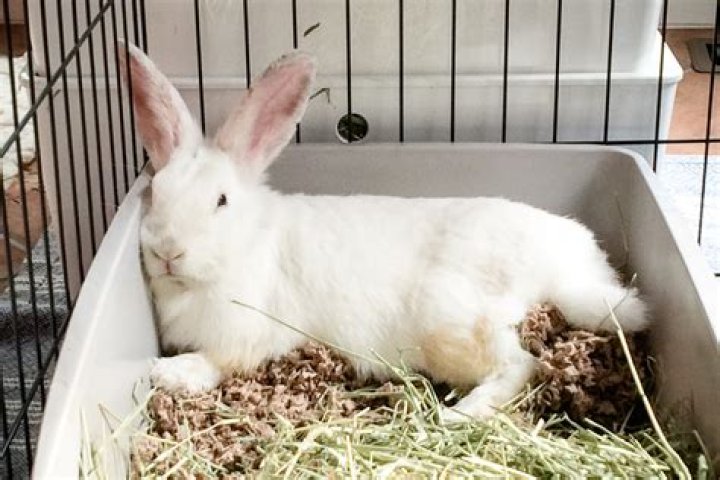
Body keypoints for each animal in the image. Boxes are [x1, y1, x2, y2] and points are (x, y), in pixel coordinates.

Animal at [118, 41, 648, 422]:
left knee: (521, 366)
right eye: (156, 194)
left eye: (222, 201)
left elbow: (218, 362)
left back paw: (459, 416)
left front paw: (169, 372)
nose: (167, 252)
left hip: (451, 321)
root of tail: (564, 270)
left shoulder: (248, 334)